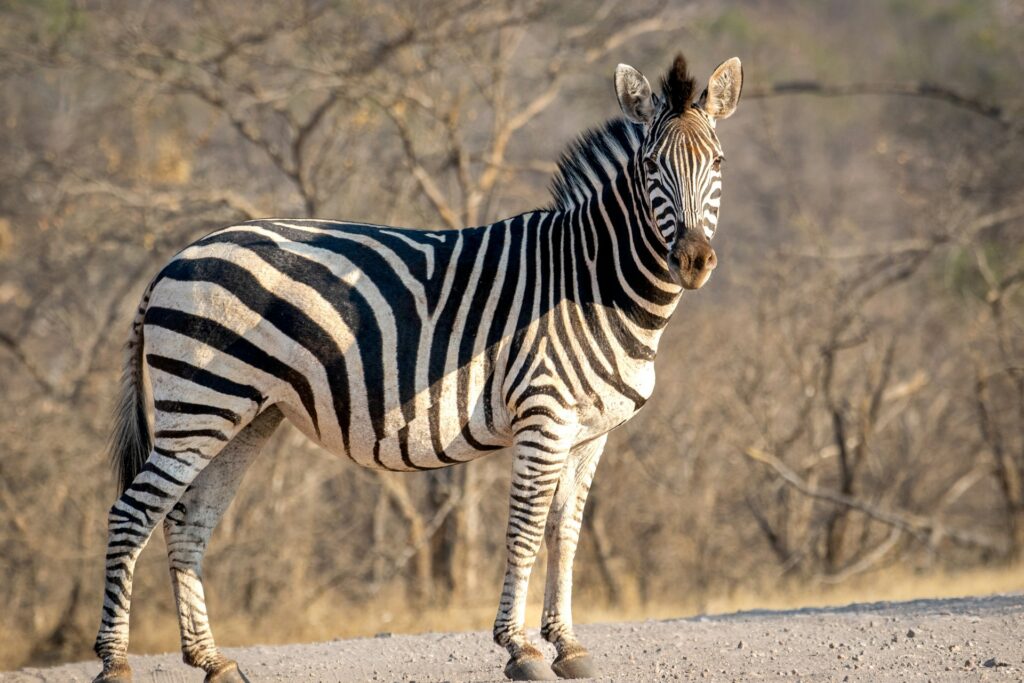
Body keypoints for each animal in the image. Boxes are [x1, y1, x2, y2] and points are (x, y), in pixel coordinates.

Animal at [93, 53, 742, 683]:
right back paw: (116, 662)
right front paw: (520, 649)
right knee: (131, 513)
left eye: (718, 162)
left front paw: (569, 645)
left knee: (187, 522)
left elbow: (565, 534)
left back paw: (212, 660)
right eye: (652, 167)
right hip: (200, 404)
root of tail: (177, 257)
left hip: (245, 415)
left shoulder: (590, 432)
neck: (591, 281)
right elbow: (526, 532)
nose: (693, 260)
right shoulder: (544, 416)